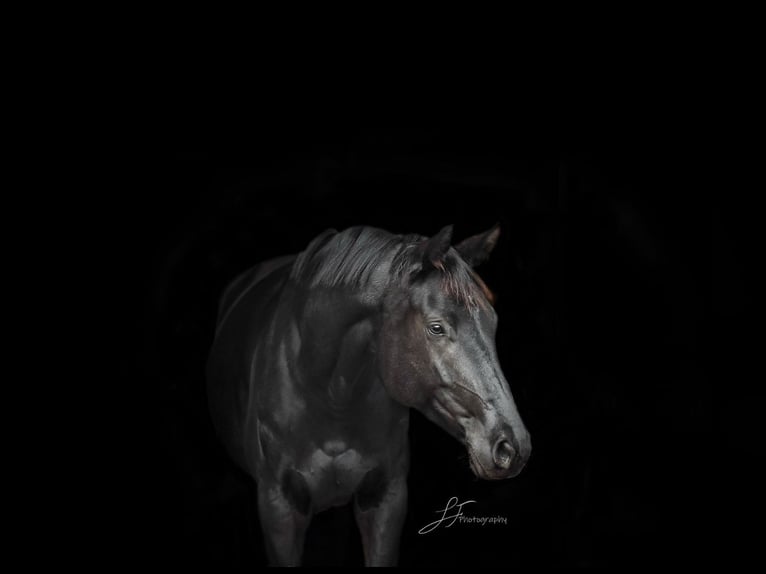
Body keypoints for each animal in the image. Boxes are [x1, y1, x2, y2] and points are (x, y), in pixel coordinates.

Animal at [206, 223, 532, 566]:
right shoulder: (278, 507)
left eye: (493, 322)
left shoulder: (385, 501)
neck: (330, 398)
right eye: (436, 327)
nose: (512, 447)